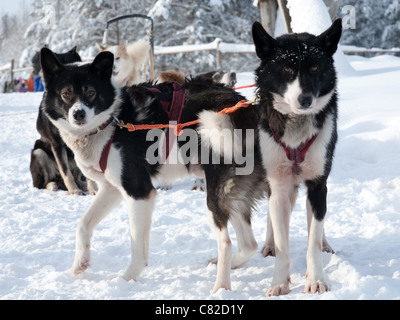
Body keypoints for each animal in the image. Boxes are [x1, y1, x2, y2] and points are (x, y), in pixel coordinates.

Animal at [29, 46, 97, 194]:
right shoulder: (56, 143)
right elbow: (66, 172)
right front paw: (74, 191)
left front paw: (93, 189)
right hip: (38, 152)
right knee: (43, 183)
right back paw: (53, 185)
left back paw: (82, 184)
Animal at [39, 46, 266, 294]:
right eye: (66, 94)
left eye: (90, 92)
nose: (78, 114)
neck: (112, 122)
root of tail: (246, 112)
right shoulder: (111, 190)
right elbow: (83, 224)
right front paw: (79, 264)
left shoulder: (138, 191)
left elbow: (137, 245)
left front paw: (126, 279)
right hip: (233, 196)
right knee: (249, 244)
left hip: (215, 195)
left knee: (226, 242)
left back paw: (220, 288)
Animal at [253, 19, 340, 296]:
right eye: (287, 68)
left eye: (314, 67)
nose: (306, 99)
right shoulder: (279, 187)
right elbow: (283, 245)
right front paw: (279, 282)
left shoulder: (318, 185)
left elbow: (313, 238)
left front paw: (316, 279)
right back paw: (269, 243)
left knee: (315, 220)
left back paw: (324, 242)